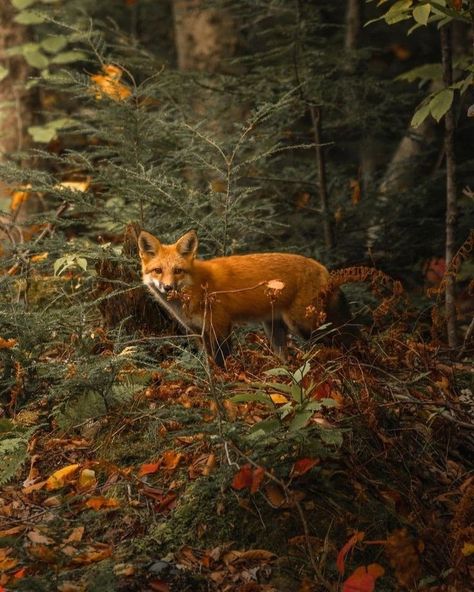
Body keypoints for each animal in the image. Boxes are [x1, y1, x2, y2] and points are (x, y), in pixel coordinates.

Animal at [136, 230, 352, 366]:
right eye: (158, 271)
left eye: (178, 271)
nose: (167, 287)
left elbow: (222, 360)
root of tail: (323, 268)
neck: (198, 287)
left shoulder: (221, 325)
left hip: (305, 325)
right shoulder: (198, 332)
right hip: (274, 329)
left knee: (340, 341)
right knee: (286, 359)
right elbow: (209, 362)